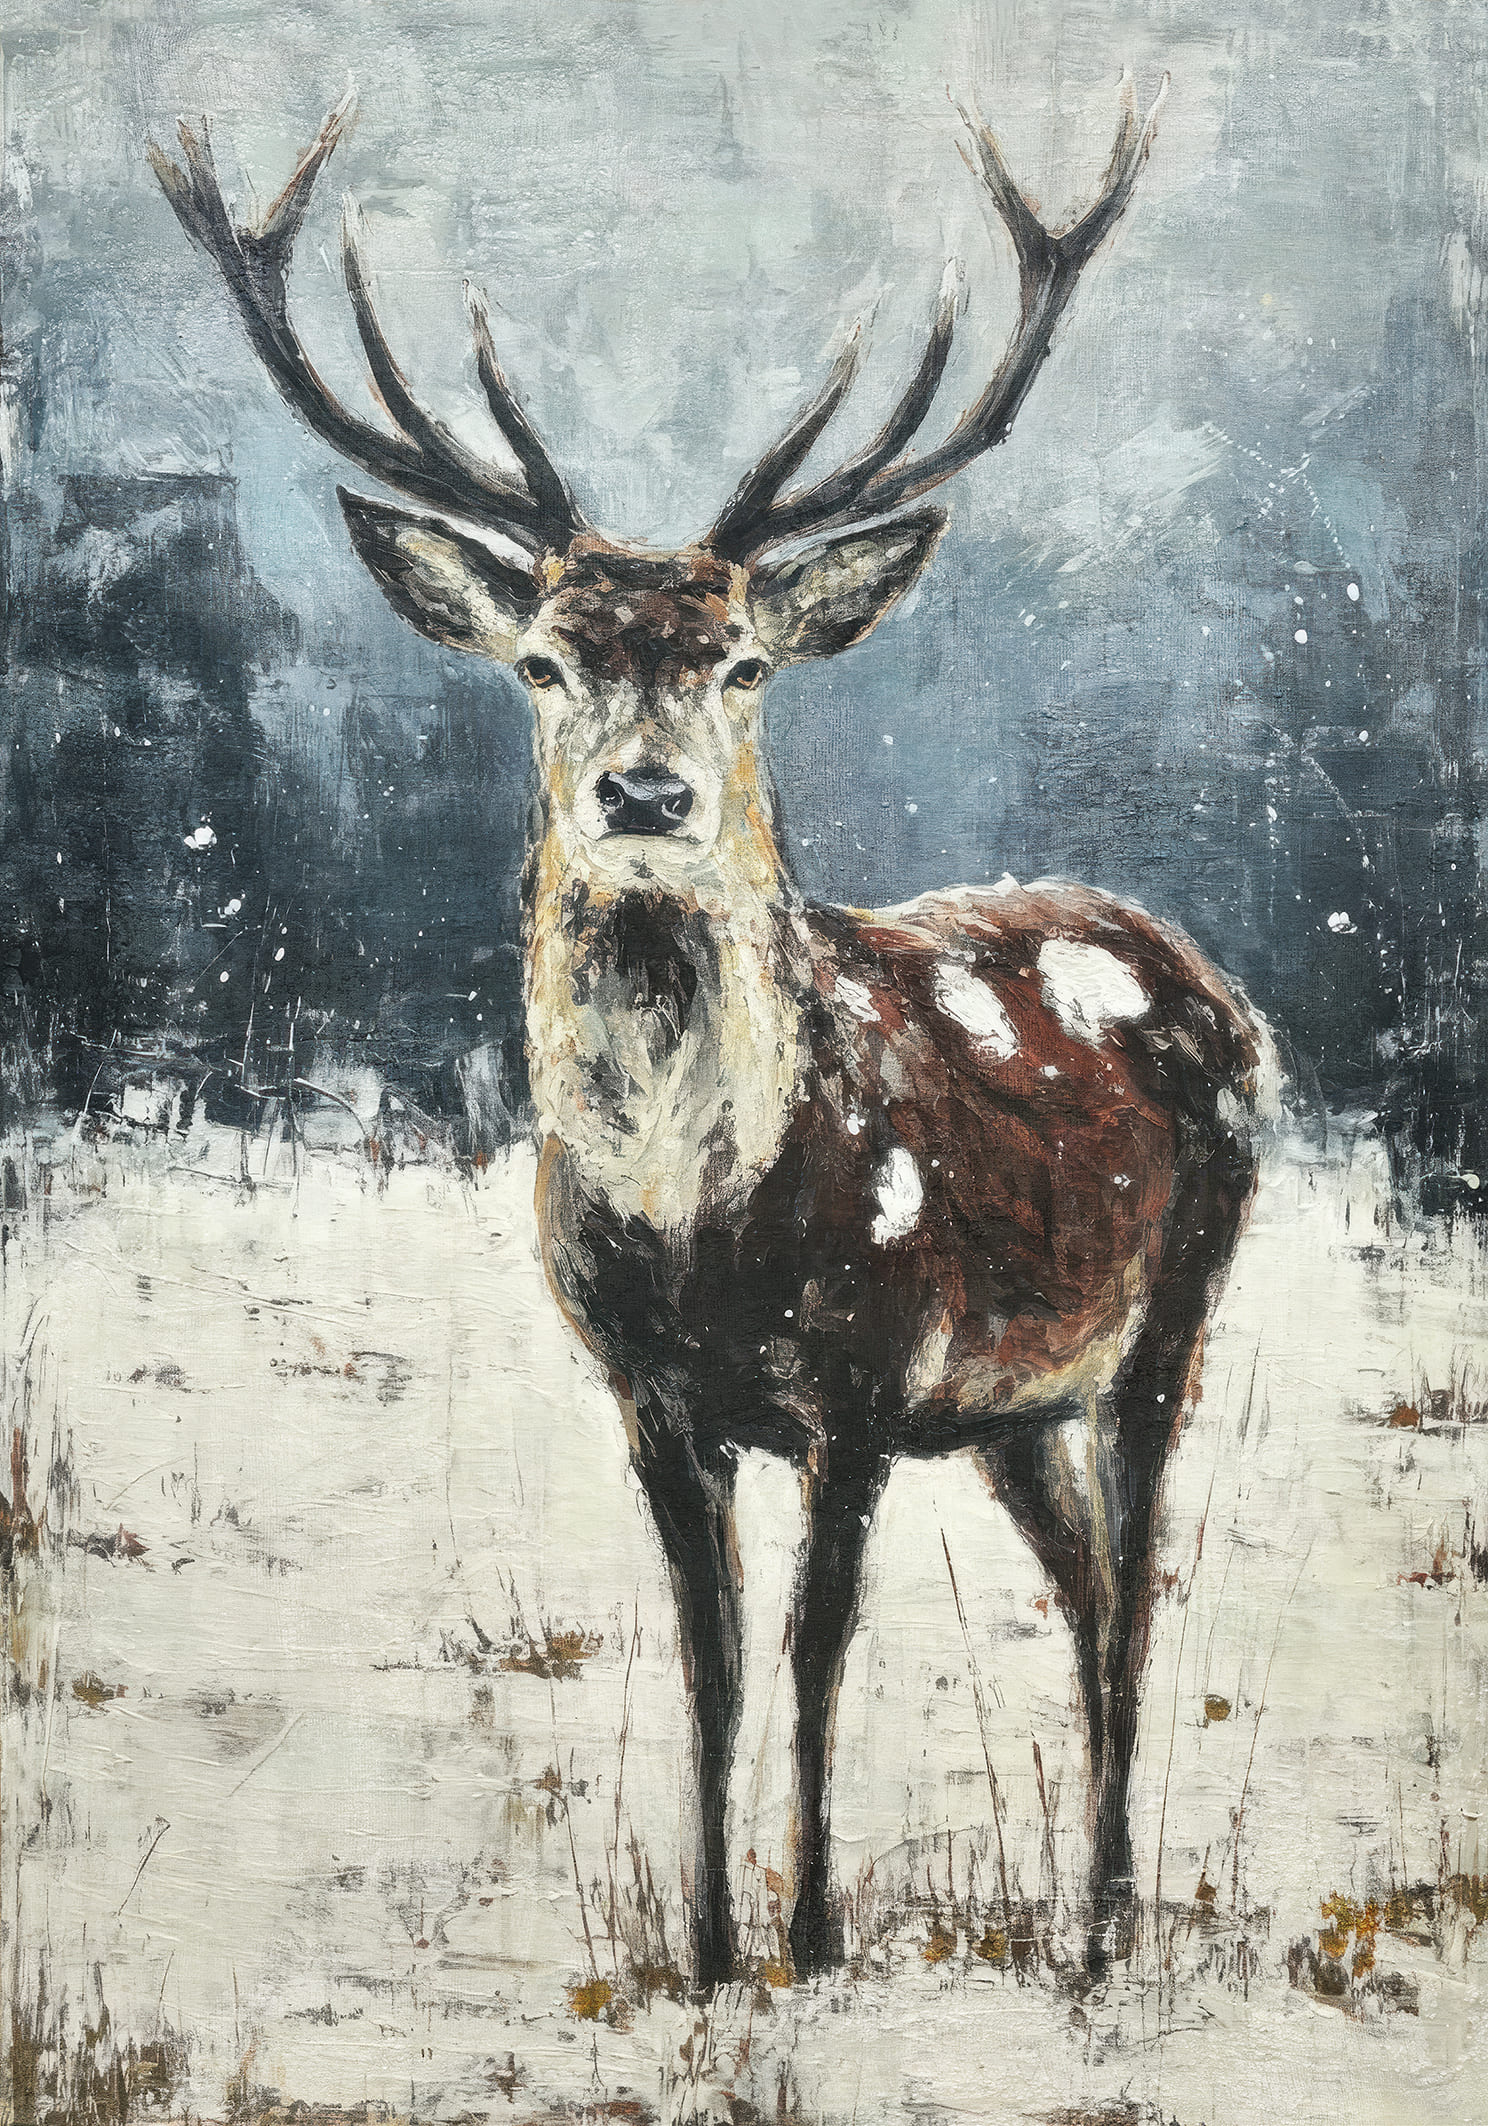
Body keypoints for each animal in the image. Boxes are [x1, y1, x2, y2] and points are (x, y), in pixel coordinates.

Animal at [150, 69, 1274, 1990]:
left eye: (744, 660)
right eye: (541, 659)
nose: (648, 792)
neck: (704, 1225)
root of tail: (1202, 976)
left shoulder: (862, 1377)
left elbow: (818, 1651)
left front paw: (811, 1938)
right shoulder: (650, 1393)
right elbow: (712, 1654)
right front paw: (704, 1941)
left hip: (1171, 1306)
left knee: (1137, 1586)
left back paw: (1108, 1923)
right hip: (1013, 1405)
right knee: (1082, 1580)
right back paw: (1083, 1907)